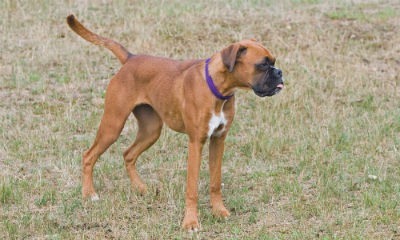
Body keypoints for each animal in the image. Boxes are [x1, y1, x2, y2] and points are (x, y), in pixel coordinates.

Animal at [66, 14, 284, 231]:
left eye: (273, 62)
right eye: (263, 65)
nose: (279, 72)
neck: (217, 87)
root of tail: (131, 58)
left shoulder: (218, 140)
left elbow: (215, 182)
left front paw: (219, 211)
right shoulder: (196, 143)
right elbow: (192, 187)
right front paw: (191, 222)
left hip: (151, 130)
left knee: (128, 154)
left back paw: (140, 188)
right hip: (113, 125)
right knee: (88, 156)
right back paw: (89, 194)